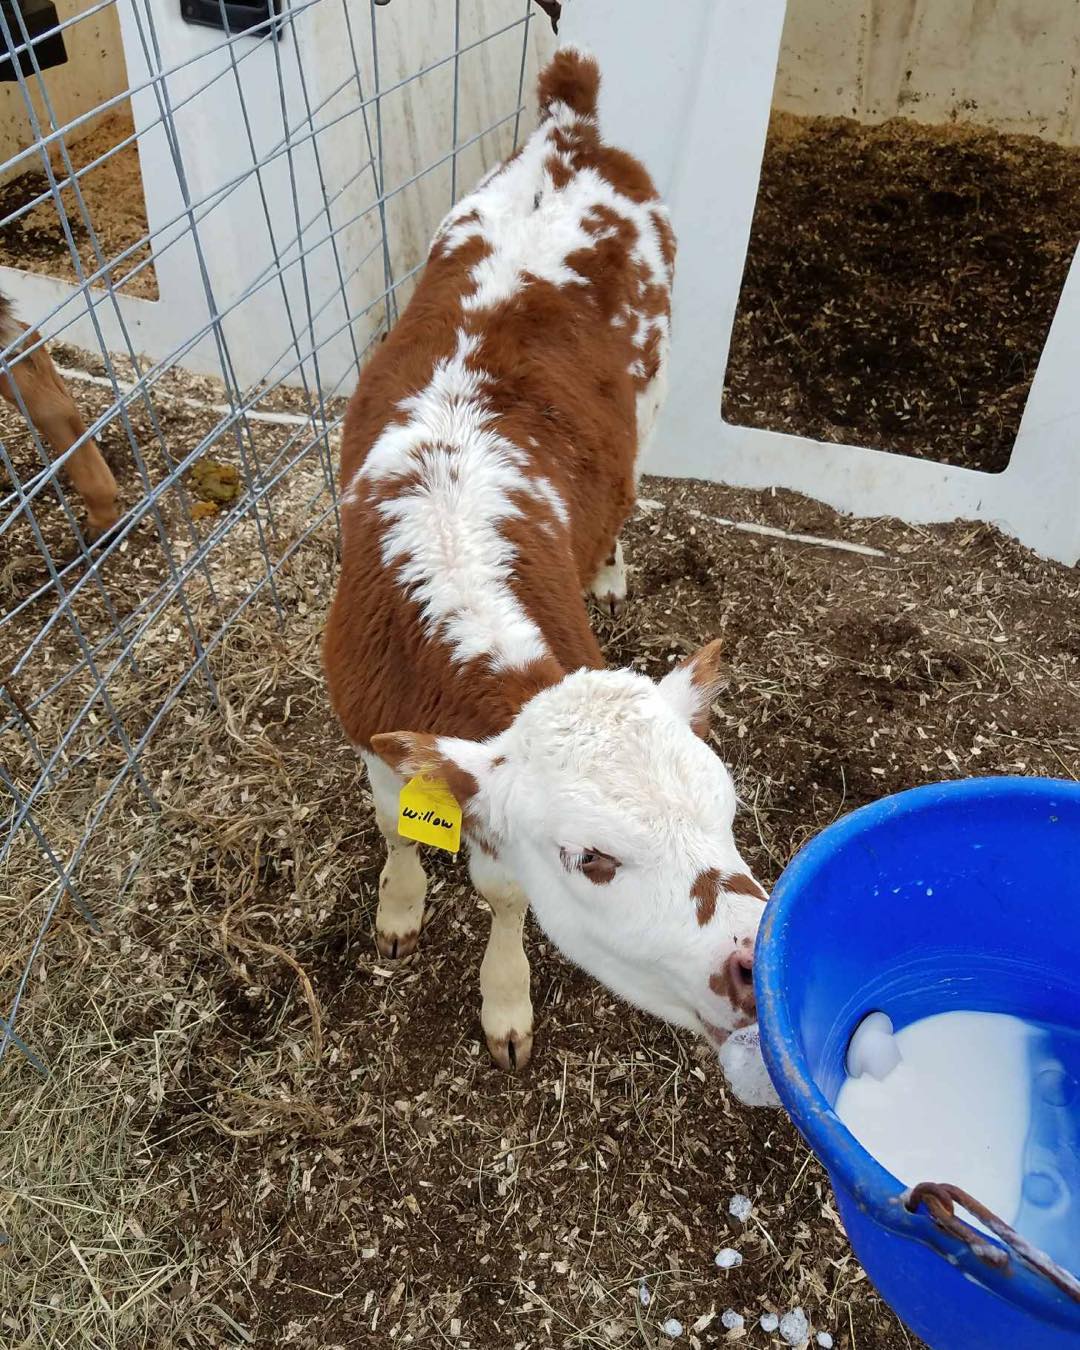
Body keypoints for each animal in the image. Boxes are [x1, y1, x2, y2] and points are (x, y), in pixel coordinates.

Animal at [323, 48, 766, 1072]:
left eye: (726, 809)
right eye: (593, 858)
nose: (755, 959)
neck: (446, 562)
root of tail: (570, 129)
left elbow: (503, 892)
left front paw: (505, 999)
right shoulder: (366, 720)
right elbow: (391, 824)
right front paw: (399, 909)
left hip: (656, 382)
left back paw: (607, 564)